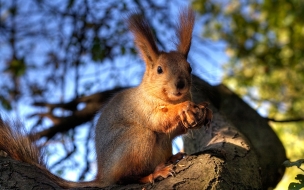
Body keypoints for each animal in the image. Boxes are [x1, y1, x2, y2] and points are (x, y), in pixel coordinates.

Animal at [0, 8, 213, 188]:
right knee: (125, 177)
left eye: (189, 68)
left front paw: (204, 110)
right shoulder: (142, 107)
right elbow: (158, 120)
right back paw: (153, 174)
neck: (169, 99)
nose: (180, 85)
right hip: (136, 141)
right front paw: (185, 107)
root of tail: (103, 175)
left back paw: (172, 158)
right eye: (159, 69)